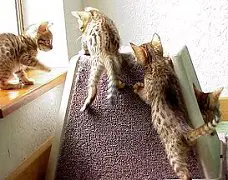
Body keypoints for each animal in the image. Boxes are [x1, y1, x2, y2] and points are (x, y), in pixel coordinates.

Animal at [131, 33, 222, 179]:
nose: (133, 58)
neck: (156, 61)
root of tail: (187, 131)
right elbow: (168, 60)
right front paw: (168, 57)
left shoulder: (148, 94)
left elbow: (143, 94)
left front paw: (137, 87)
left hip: (173, 155)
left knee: (185, 175)